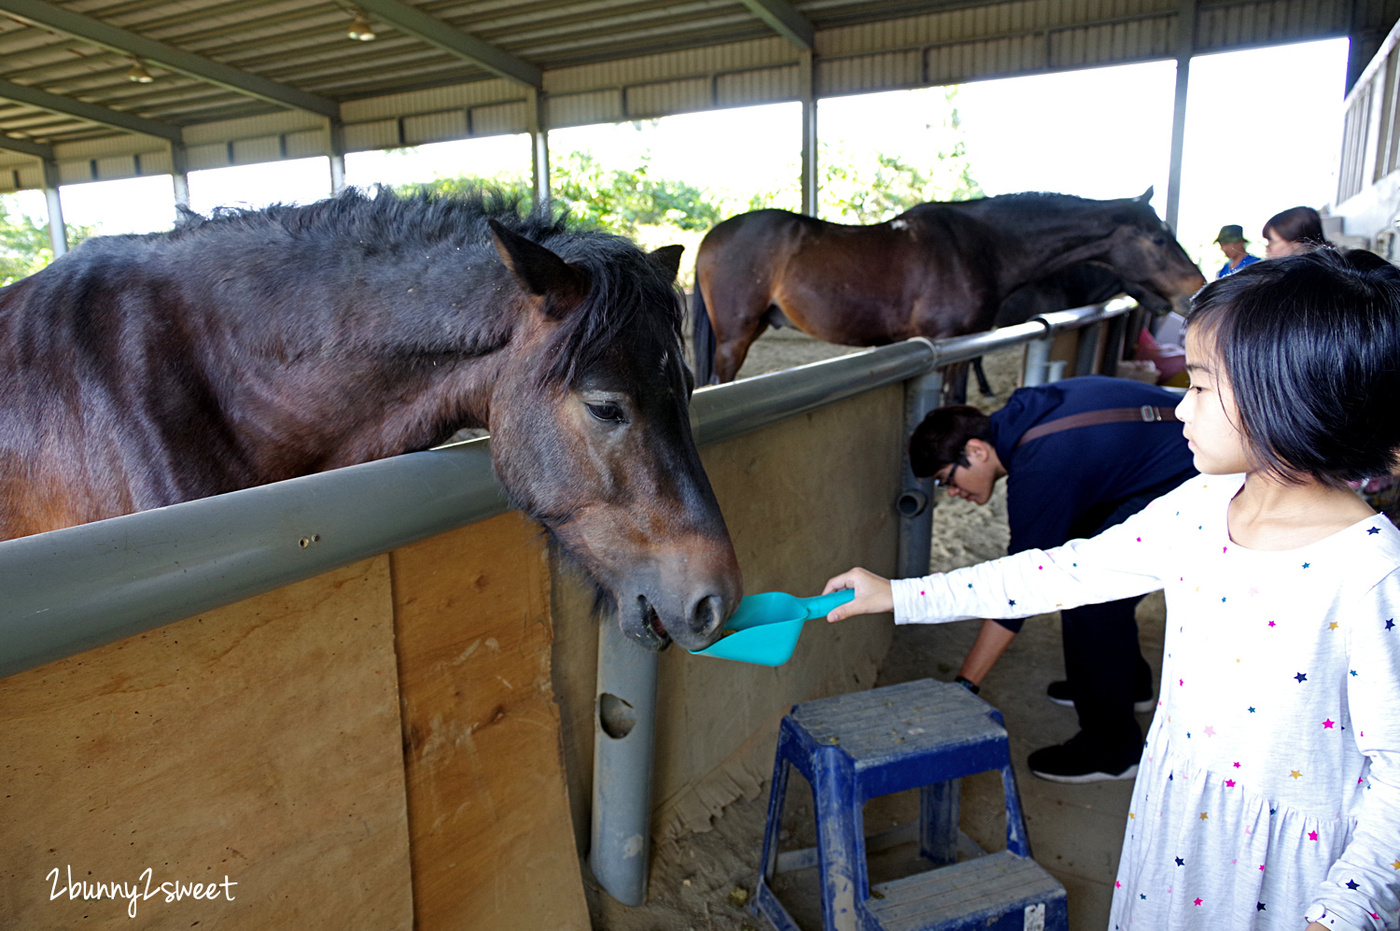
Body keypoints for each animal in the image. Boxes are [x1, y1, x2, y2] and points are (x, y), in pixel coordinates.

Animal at [694, 189, 1209, 394]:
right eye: (1157, 238)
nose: (1196, 290)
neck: (981, 246)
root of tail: (713, 235)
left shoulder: (963, 343)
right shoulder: (945, 344)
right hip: (735, 337)